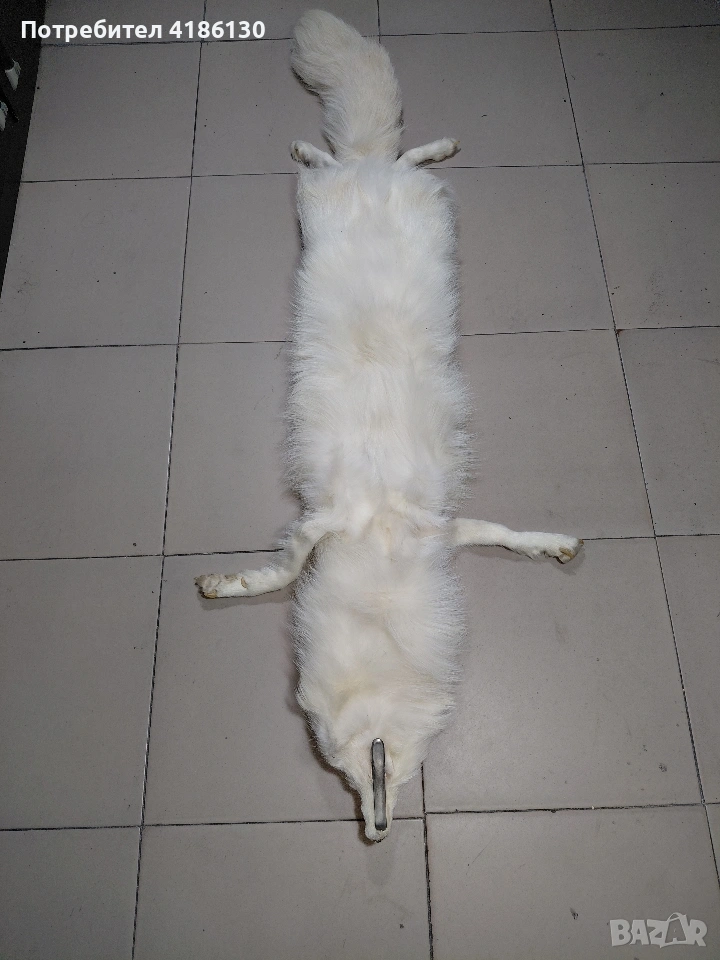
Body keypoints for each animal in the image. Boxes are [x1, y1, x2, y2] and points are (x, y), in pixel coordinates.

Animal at [196, 10, 582, 841]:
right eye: (345, 776)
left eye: (371, 770)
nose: (374, 835)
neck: (379, 556)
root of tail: (368, 178)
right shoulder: (333, 524)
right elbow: (280, 570)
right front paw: (229, 583)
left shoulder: (435, 524)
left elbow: (505, 533)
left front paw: (552, 544)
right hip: (323, 199)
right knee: (352, 156)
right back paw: (323, 146)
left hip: (379, 189)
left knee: (394, 152)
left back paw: (417, 145)